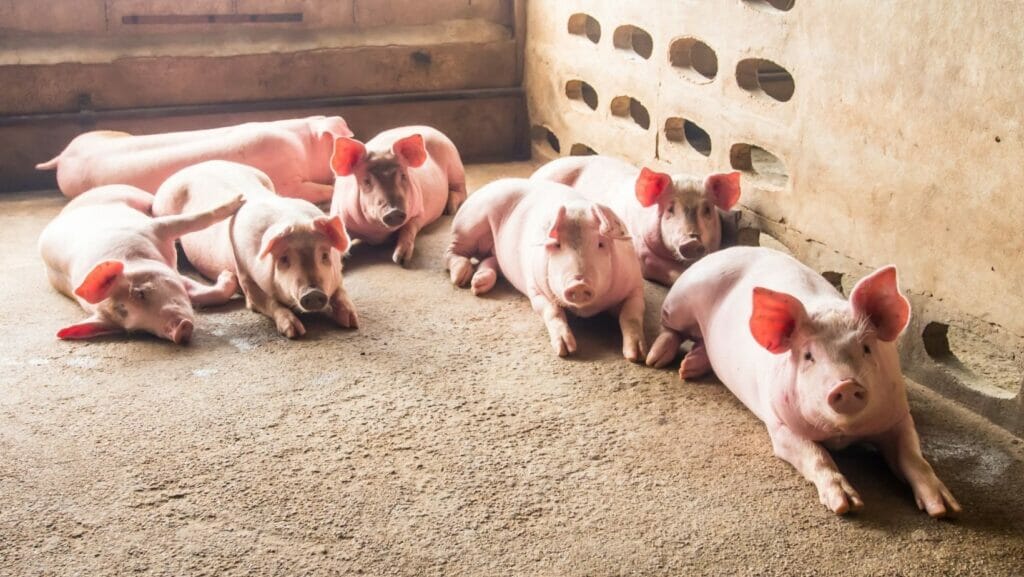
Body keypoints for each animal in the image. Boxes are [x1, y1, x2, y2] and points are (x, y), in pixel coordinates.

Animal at [38, 184, 244, 343]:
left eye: (141, 293)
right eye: (137, 329)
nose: (179, 332)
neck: (134, 257)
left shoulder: (154, 229)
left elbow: (192, 221)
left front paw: (239, 201)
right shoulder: (167, 270)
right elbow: (201, 293)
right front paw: (228, 276)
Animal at [153, 160, 357, 339]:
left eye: (324, 255)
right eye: (284, 259)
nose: (313, 293)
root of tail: (196, 165)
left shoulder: (337, 274)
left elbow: (341, 292)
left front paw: (352, 322)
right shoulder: (244, 275)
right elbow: (267, 302)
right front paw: (294, 331)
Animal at [329, 125, 466, 266]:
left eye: (403, 176)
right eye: (366, 181)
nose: (394, 211)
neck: (377, 235)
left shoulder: (419, 212)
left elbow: (409, 227)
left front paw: (400, 259)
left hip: (456, 169)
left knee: (461, 191)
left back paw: (449, 210)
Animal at [445, 178, 646, 361]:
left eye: (601, 244)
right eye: (556, 245)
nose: (579, 283)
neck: (585, 310)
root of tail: (488, 185)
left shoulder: (635, 286)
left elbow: (631, 315)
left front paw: (636, 356)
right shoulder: (535, 288)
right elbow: (552, 311)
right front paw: (566, 351)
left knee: (490, 260)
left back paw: (478, 285)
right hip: (468, 225)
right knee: (450, 252)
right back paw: (462, 278)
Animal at [646, 246, 961, 517]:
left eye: (866, 349)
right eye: (809, 356)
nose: (846, 385)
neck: (842, 435)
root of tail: (722, 251)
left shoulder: (898, 415)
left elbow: (912, 454)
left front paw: (945, 509)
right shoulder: (779, 424)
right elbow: (816, 455)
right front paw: (846, 506)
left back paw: (689, 367)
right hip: (679, 301)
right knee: (670, 328)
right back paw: (658, 360)